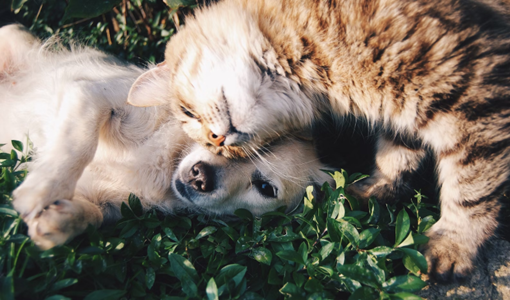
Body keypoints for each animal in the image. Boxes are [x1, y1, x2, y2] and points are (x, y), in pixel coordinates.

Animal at [0, 25, 332, 251]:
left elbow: (92, 215)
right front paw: (41, 189)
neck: (167, 162)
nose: (200, 176)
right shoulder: (92, 95)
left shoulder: (112, 204)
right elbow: (77, 143)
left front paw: (58, 221)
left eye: (265, 188)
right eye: (217, 136)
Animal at [128, 0, 510, 282]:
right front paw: (373, 190)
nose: (218, 139)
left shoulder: (472, 98)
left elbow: (471, 190)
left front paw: (453, 245)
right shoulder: (405, 113)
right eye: (216, 146)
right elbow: (396, 157)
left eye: (187, 112)